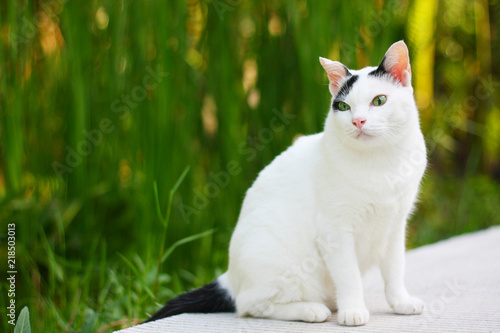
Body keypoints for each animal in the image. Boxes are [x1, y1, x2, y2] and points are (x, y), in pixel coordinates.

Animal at [147, 40, 426, 326]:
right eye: (344, 107)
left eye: (379, 101)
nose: (358, 120)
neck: (381, 163)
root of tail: (230, 277)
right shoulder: (335, 231)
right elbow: (349, 277)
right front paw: (353, 310)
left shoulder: (395, 226)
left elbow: (394, 270)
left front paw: (401, 302)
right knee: (250, 306)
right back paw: (312, 310)